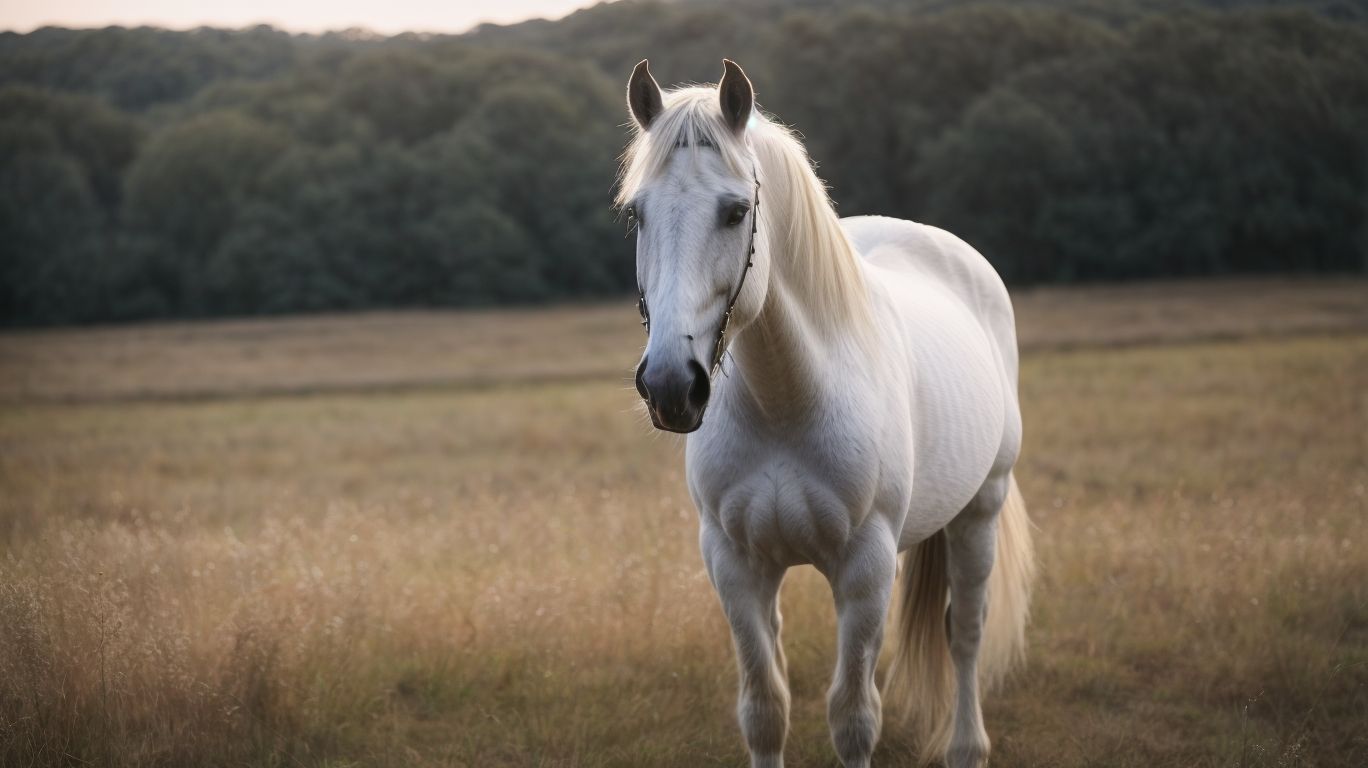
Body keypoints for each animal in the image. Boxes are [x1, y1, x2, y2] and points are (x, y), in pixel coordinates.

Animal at [618, 59, 1036, 768]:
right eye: (638, 214)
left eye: (736, 212)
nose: (672, 386)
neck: (788, 401)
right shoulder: (736, 565)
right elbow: (765, 710)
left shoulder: (865, 570)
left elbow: (853, 717)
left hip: (981, 508)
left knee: (965, 633)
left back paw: (967, 746)